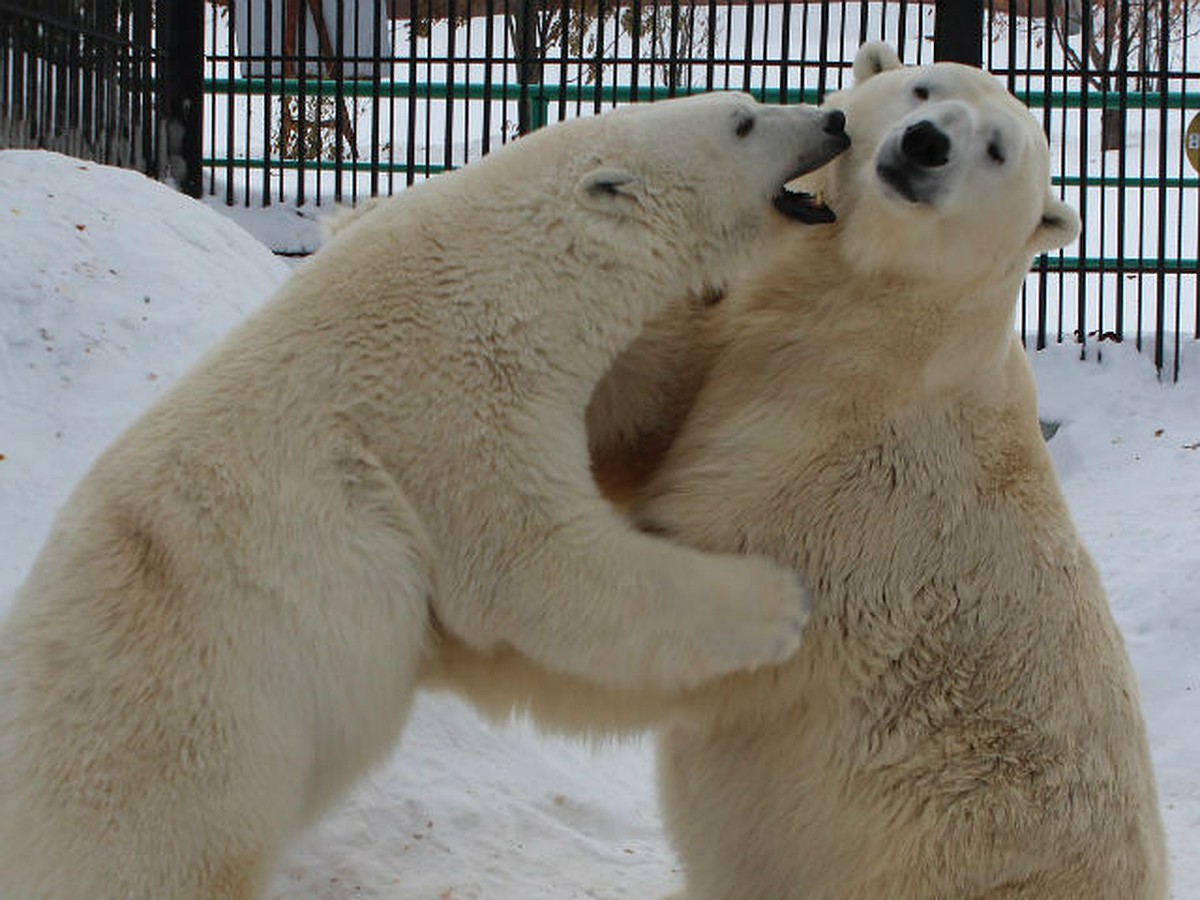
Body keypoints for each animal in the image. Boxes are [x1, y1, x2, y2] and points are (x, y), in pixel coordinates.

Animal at [0, 93, 854, 900]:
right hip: (178, 748)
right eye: (743, 122)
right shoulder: (445, 401)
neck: (512, 276)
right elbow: (533, 567)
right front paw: (780, 601)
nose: (835, 119)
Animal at [619, 44, 1161, 900]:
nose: (926, 143)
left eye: (998, 149)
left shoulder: (837, 474)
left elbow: (701, 579)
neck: (876, 330)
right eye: (923, 86)